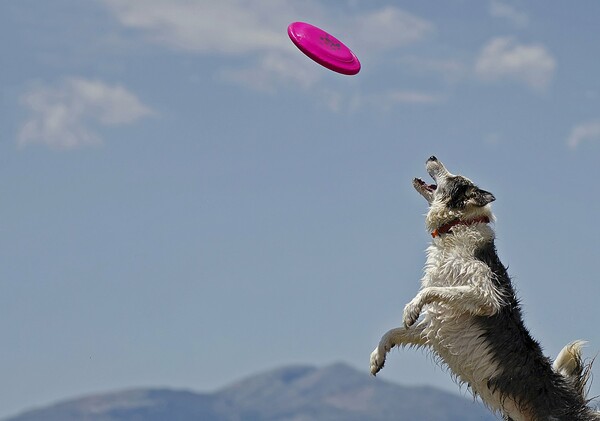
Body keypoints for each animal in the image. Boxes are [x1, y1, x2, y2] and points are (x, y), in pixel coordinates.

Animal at [368, 157, 596, 420]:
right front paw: (377, 357)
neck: (459, 224)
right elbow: (393, 332)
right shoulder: (435, 324)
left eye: (454, 177)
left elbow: (430, 292)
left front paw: (410, 310)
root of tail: (574, 400)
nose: (433, 156)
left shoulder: (485, 295)